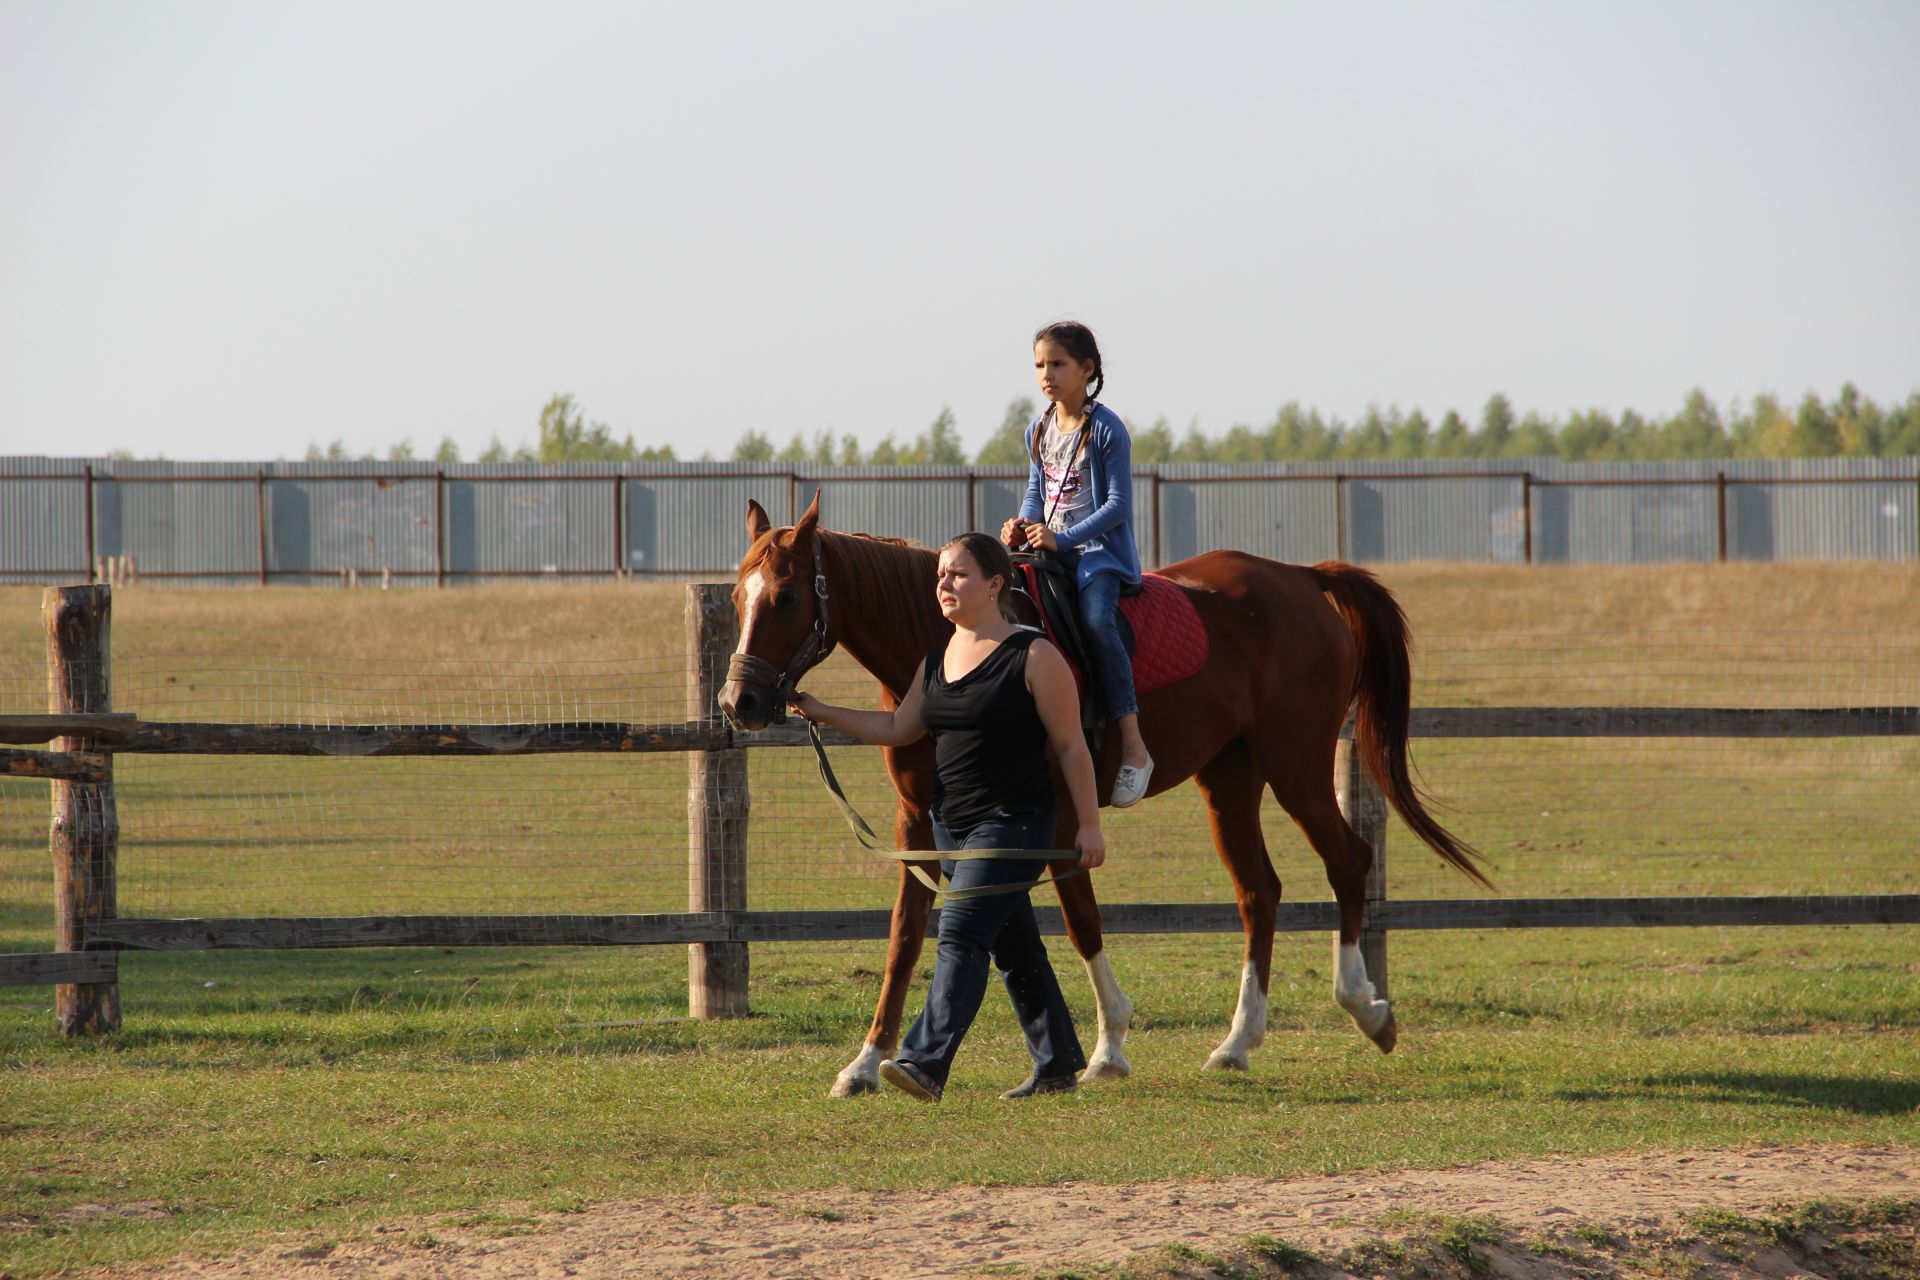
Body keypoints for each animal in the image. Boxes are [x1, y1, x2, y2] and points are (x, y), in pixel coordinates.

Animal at [721, 495, 1482, 1097]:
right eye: (735, 598)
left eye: (786, 597)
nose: (739, 702)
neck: (944, 640)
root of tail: (1299, 579)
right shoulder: (920, 822)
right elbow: (907, 936)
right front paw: (868, 1062)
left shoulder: (1059, 814)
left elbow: (1079, 917)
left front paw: (1109, 1048)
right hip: (1230, 778)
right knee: (1258, 892)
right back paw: (1238, 1042)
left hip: (1294, 766)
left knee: (1348, 862)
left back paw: (1366, 1007)